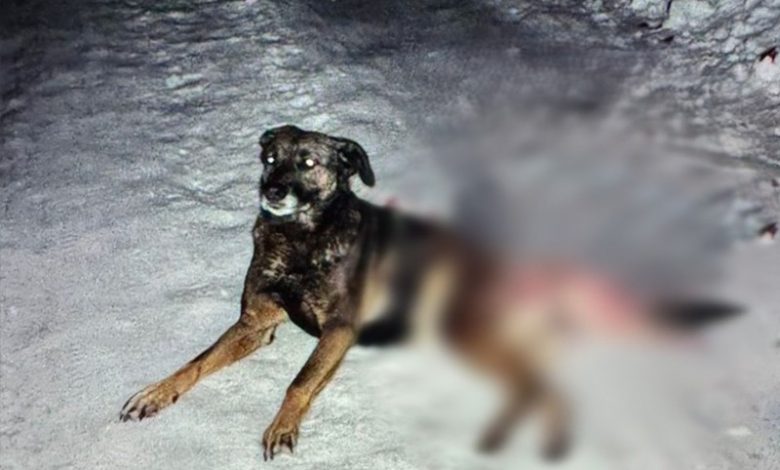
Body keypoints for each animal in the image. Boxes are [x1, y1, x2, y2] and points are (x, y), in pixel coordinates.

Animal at [120, 125, 738, 460]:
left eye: (308, 162)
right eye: (270, 158)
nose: (271, 191)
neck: (301, 239)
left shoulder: (339, 331)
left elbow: (297, 383)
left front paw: (281, 426)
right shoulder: (256, 324)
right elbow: (196, 363)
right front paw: (155, 393)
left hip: (464, 325)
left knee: (542, 385)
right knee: (538, 385)